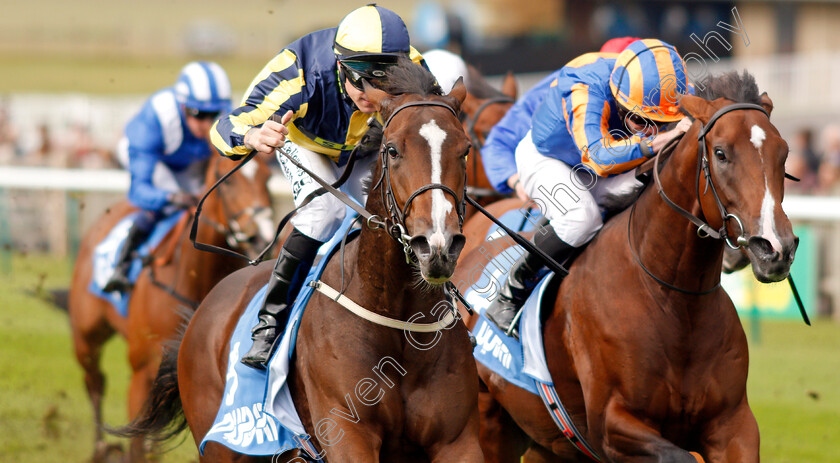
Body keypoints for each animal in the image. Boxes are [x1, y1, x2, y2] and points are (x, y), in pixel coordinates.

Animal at [69, 151, 272, 460]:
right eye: (228, 182)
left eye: (268, 177)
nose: (262, 235)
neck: (190, 275)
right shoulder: (142, 369)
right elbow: (138, 442)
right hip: (86, 337)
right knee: (95, 381)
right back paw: (101, 447)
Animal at [122, 61, 482, 463]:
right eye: (392, 150)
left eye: (465, 150)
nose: (437, 246)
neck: (396, 317)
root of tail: (203, 309)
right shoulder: (346, 433)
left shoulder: (459, 441)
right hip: (219, 446)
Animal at [452, 70, 796, 462]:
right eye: (721, 153)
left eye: (783, 154)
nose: (774, 248)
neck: (673, 300)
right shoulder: (612, 424)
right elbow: (677, 454)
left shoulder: (733, 424)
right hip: (489, 423)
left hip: (547, 441)